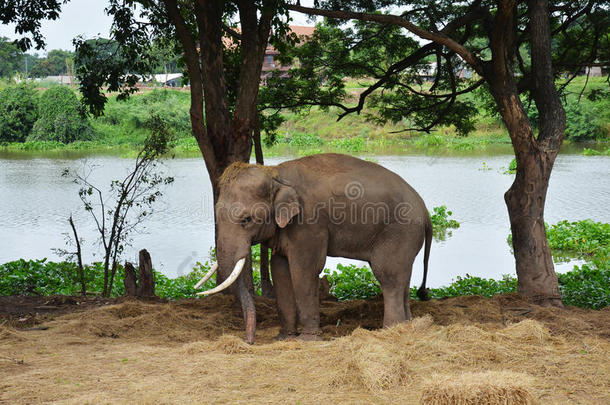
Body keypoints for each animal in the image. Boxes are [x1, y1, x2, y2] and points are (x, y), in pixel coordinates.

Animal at [197, 153, 430, 342]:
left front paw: (307, 340)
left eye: (246, 220)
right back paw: (407, 326)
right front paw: (284, 338)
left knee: (388, 276)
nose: (249, 341)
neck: (276, 173)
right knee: (403, 278)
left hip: (399, 232)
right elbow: (279, 269)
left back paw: (390, 331)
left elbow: (304, 269)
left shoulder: (308, 223)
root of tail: (425, 210)